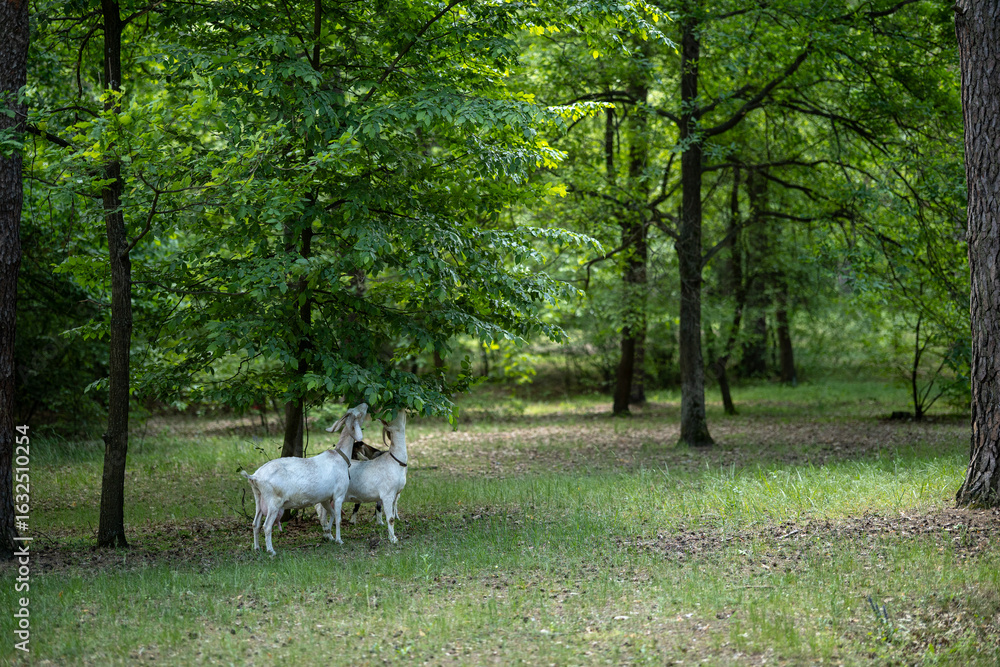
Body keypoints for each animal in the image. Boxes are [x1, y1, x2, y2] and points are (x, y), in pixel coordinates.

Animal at [241, 403, 366, 555]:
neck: (340, 457)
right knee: (266, 526)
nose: (365, 404)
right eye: (359, 413)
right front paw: (339, 540)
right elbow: (338, 517)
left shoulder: (325, 498)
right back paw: (271, 551)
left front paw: (328, 535)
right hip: (274, 502)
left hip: (258, 498)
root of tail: (255, 476)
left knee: (255, 523)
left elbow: (328, 515)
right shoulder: (338, 495)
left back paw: (257, 548)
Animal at [318, 410, 408, 543]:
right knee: (323, 514)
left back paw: (328, 536)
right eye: (394, 420)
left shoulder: (395, 494)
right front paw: (393, 539)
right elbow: (390, 519)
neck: (395, 461)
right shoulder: (387, 494)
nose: (402, 410)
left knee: (325, 513)